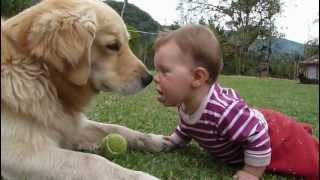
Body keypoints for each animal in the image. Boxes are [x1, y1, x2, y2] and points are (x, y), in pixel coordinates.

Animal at [1, 0, 171, 179]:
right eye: (112, 45)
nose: (149, 79)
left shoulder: (70, 125)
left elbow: (114, 128)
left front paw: (154, 140)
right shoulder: (20, 154)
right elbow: (92, 161)